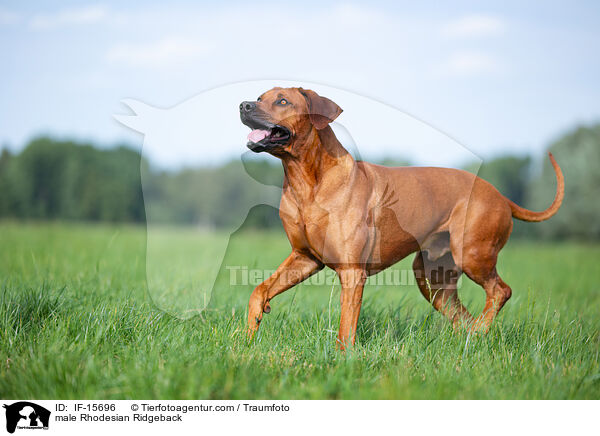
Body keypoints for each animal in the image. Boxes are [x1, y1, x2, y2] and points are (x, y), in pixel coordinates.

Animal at [238, 87, 564, 350]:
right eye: (260, 97)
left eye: (282, 100)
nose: (243, 105)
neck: (307, 182)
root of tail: (501, 196)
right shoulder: (304, 257)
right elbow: (259, 289)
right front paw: (247, 335)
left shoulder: (352, 272)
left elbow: (346, 327)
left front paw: (343, 358)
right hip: (432, 277)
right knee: (462, 314)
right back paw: (471, 340)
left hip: (472, 254)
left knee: (500, 291)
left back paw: (481, 332)